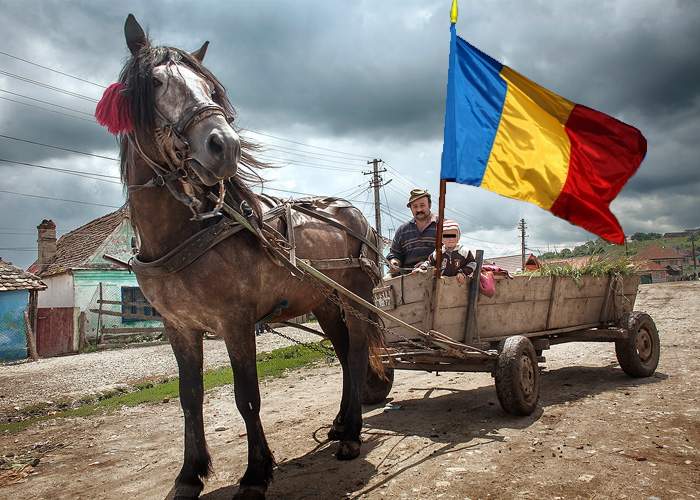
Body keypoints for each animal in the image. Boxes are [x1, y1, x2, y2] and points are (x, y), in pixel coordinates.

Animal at [106, 13, 386, 498]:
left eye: (210, 87)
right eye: (156, 82)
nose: (226, 145)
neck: (185, 232)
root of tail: (352, 213)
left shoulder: (235, 321)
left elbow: (246, 396)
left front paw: (256, 474)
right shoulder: (179, 327)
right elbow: (190, 397)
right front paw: (190, 474)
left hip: (357, 298)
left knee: (354, 354)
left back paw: (351, 435)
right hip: (324, 302)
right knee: (343, 352)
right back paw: (339, 424)